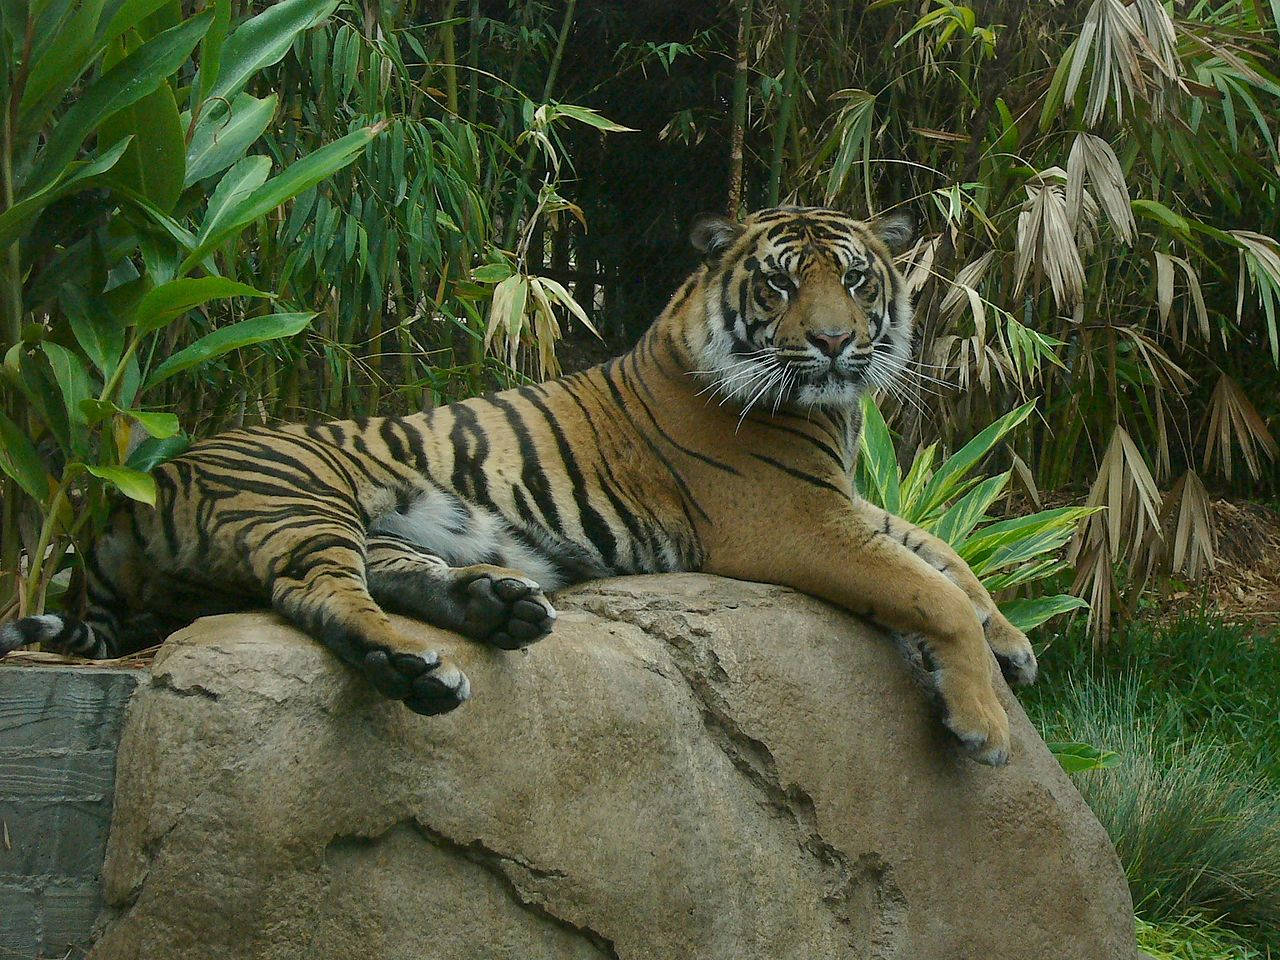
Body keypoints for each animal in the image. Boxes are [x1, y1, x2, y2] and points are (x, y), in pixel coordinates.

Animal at [0, 208, 1034, 768]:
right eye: (780, 287)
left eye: (856, 280)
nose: (832, 343)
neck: (832, 412)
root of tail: (123, 495)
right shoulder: (797, 519)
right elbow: (927, 589)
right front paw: (984, 723)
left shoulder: (845, 501)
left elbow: (943, 554)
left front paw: (1013, 647)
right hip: (301, 497)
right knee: (316, 594)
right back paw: (417, 669)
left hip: (377, 523)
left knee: (388, 575)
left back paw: (497, 608)